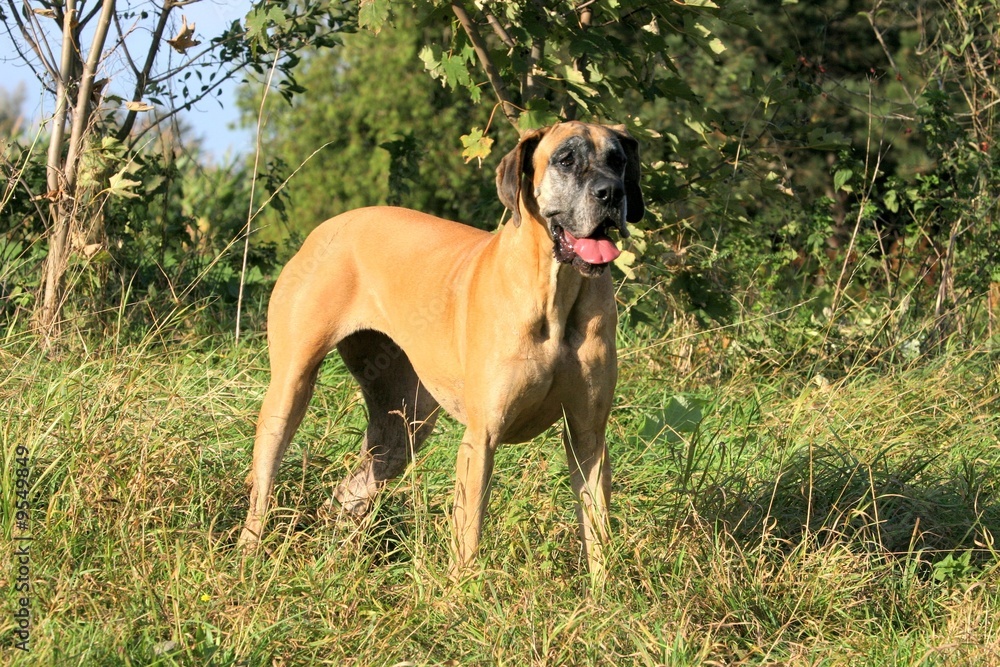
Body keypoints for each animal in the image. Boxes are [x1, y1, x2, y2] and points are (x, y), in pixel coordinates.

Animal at [241, 121, 644, 580]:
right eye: (566, 159)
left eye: (618, 160)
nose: (611, 193)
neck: (557, 293)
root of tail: (328, 226)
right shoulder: (480, 440)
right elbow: (468, 536)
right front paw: (463, 592)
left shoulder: (588, 437)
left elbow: (598, 532)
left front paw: (605, 591)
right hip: (289, 391)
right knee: (264, 484)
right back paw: (250, 557)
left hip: (404, 422)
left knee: (349, 491)